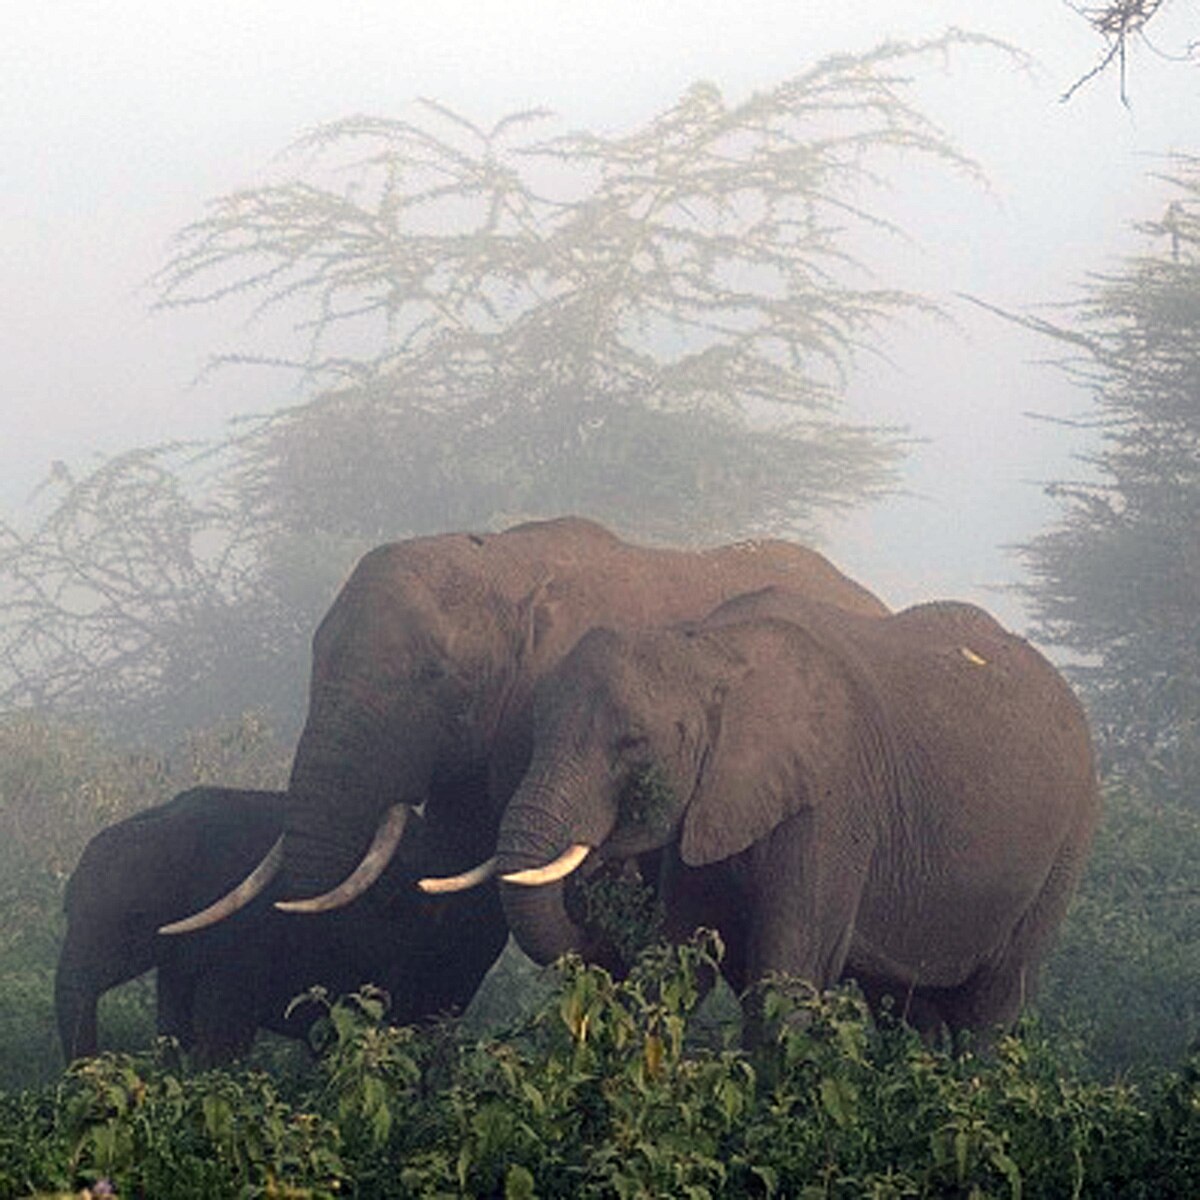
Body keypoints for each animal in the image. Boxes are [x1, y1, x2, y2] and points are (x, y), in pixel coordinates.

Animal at [487, 586, 1100, 1040]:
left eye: (633, 743)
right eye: (535, 726)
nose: (602, 880)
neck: (710, 649)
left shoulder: (835, 802)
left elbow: (787, 980)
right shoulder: (714, 801)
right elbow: (677, 961)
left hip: (1069, 842)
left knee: (988, 1012)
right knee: (905, 1010)